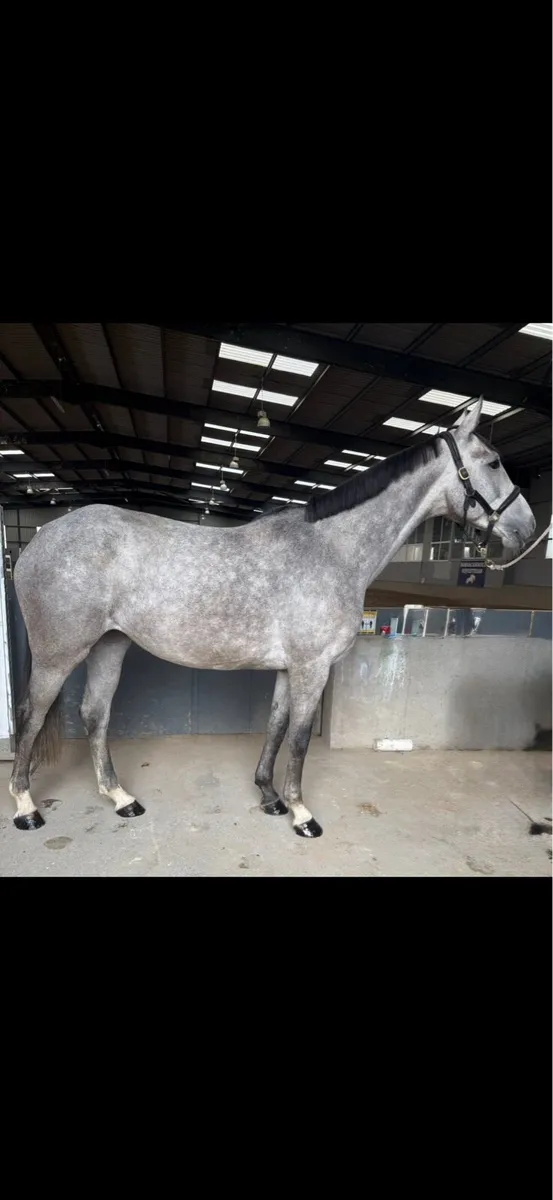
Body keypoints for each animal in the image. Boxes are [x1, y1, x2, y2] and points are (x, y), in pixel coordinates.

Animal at [8, 399, 535, 837]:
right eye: (492, 462)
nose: (528, 528)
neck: (332, 549)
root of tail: (42, 536)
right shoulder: (312, 667)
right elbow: (299, 739)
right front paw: (301, 814)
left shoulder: (289, 667)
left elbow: (277, 725)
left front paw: (270, 796)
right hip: (59, 654)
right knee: (31, 715)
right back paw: (26, 808)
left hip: (109, 644)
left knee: (94, 714)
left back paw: (121, 799)